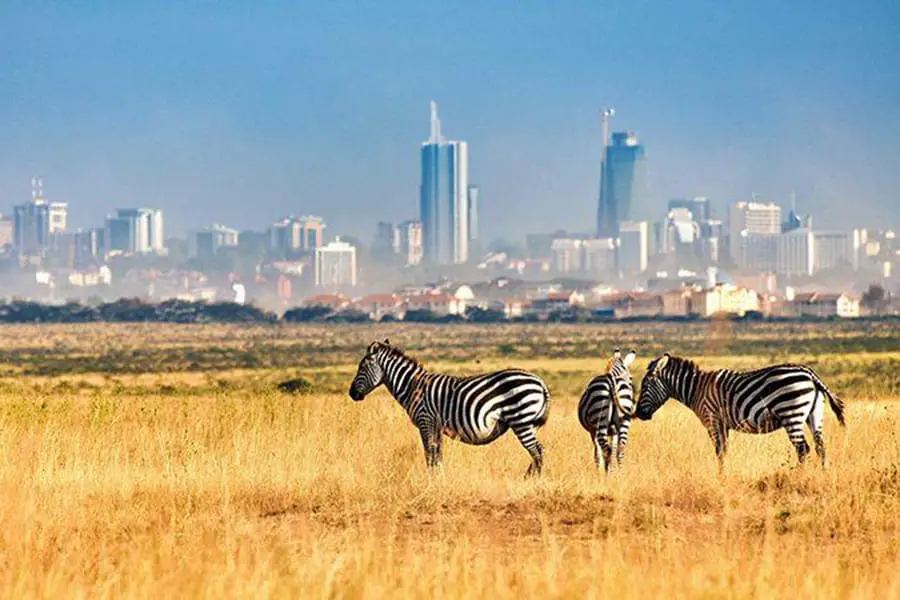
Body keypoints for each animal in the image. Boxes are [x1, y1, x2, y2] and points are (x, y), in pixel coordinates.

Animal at [348, 340, 552, 476]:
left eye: (362, 367)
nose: (351, 394)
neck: (412, 386)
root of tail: (540, 382)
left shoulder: (425, 421)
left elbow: (429, 454)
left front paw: (431, 481)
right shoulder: (436, 426)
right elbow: (437, 455)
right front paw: (440, 478)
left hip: (521, 420)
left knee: (537, 451)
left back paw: (531, 480)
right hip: (529, 423)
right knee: (538, 451)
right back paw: (530, 477)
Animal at [632, 354, 844, 466]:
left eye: (644, 386)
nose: (639, 414)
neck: (697, 389)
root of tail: (810, 374)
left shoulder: (712, 420)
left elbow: (719, 451)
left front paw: (720, 479)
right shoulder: (723, 424)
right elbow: (724, 451)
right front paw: (723, 475)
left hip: (791, 413)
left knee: (802, 449)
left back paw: (799, 478)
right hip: (813, 415)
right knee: (820, 447)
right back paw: (821, 477)